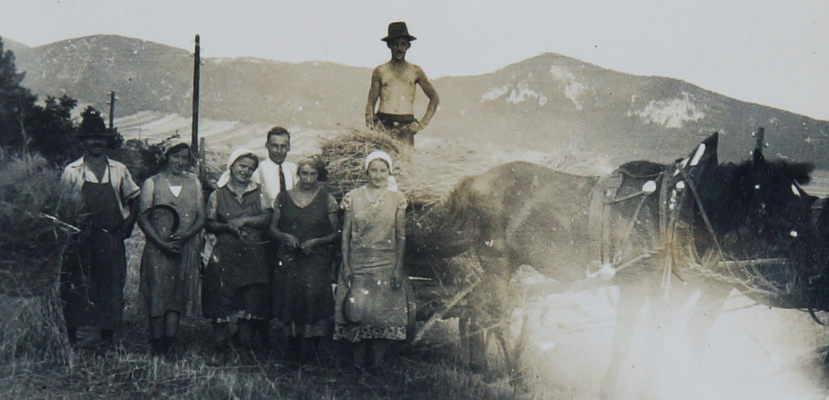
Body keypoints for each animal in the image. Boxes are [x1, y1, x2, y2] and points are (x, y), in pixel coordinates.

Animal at [406, 132, 828, 396]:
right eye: (779, 202)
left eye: (802, 198)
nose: (814, 259)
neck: (674, 208)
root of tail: (474, 179)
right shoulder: (633, 286)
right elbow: (624, 343)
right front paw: (609, 388)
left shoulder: (662, 292)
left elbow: (655, 341)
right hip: (497, 263)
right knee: (492, 315)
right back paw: (512, 373)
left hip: (497, 268)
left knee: (475, 312)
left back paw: (480, 365)